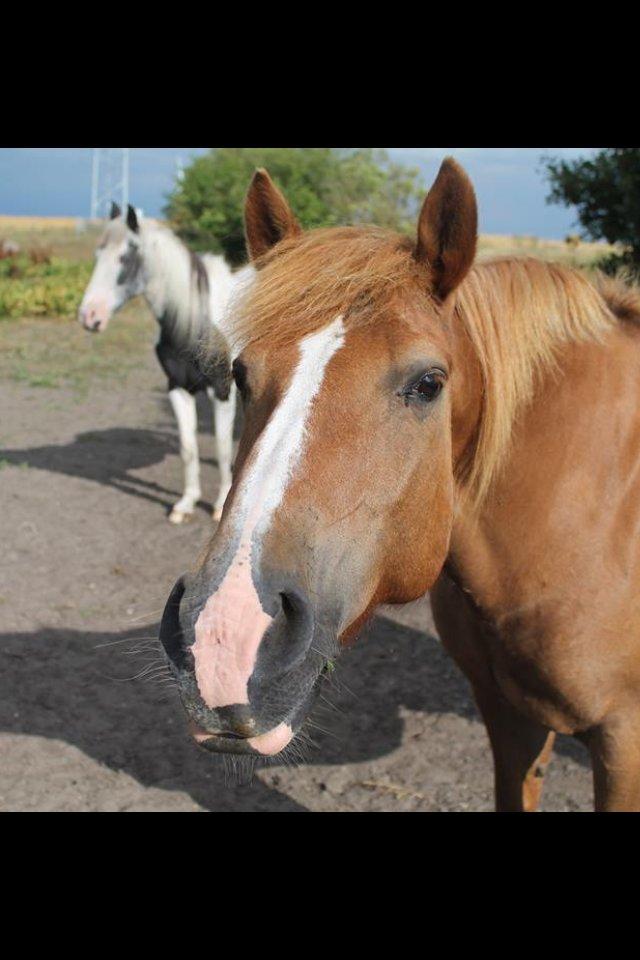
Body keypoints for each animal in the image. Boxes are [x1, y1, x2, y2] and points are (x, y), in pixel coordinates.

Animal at [79, 200, 250, 524]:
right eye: (96, 256)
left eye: (125, 258)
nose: (90, 316)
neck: (196, 322)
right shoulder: (178, 388)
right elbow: (188, 448)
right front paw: (186, 504)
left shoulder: (222, 391)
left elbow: (222, 448)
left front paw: (220, 504)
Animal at [161, 158, 640, 808]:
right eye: (240, 372)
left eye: (429, 383)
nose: (225, 637)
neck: (591, 513)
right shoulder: (509, 716)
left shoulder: (623, 742)